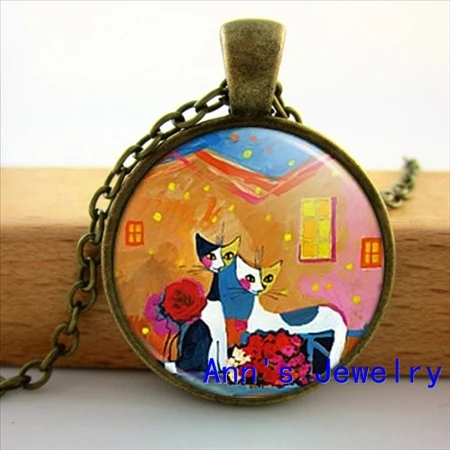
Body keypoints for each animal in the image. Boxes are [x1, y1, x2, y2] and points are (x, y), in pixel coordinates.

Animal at [175, 233, 240, 374]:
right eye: (211, 256)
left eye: (228, 256)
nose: (219, 267)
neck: (213, 301)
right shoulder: (216, 335)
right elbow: (217, 356)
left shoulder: (222, 335)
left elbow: (222, 355)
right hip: (202, 333)